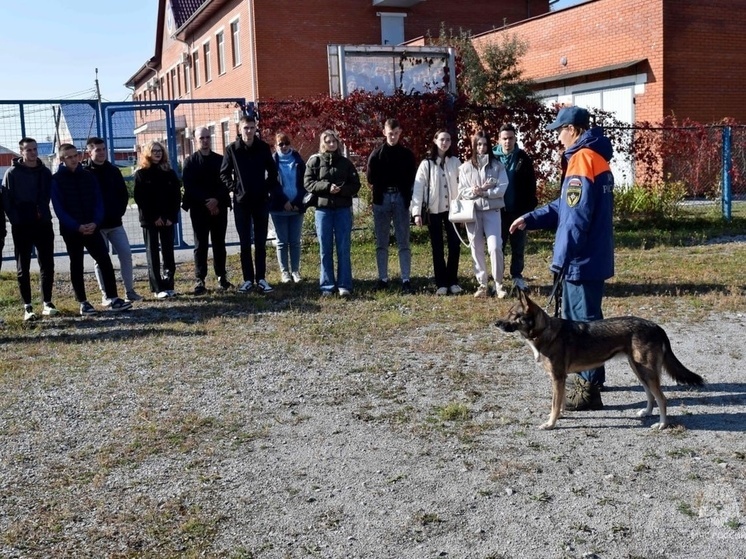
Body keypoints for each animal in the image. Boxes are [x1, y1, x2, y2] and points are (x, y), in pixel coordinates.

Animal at [494, 290, 704, 430]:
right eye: (507, 313)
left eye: (514, 315)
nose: (496, 323)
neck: (544, 332)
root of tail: (657, 327)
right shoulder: (560, 379)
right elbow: (559, 403)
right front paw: (559, 417)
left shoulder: (557, 377)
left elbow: (555, 403)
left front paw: (550, 423)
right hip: (639, 370)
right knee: (651, 395)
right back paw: (647, 413)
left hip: (647, 372)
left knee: (662, 398)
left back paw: (661, 424)